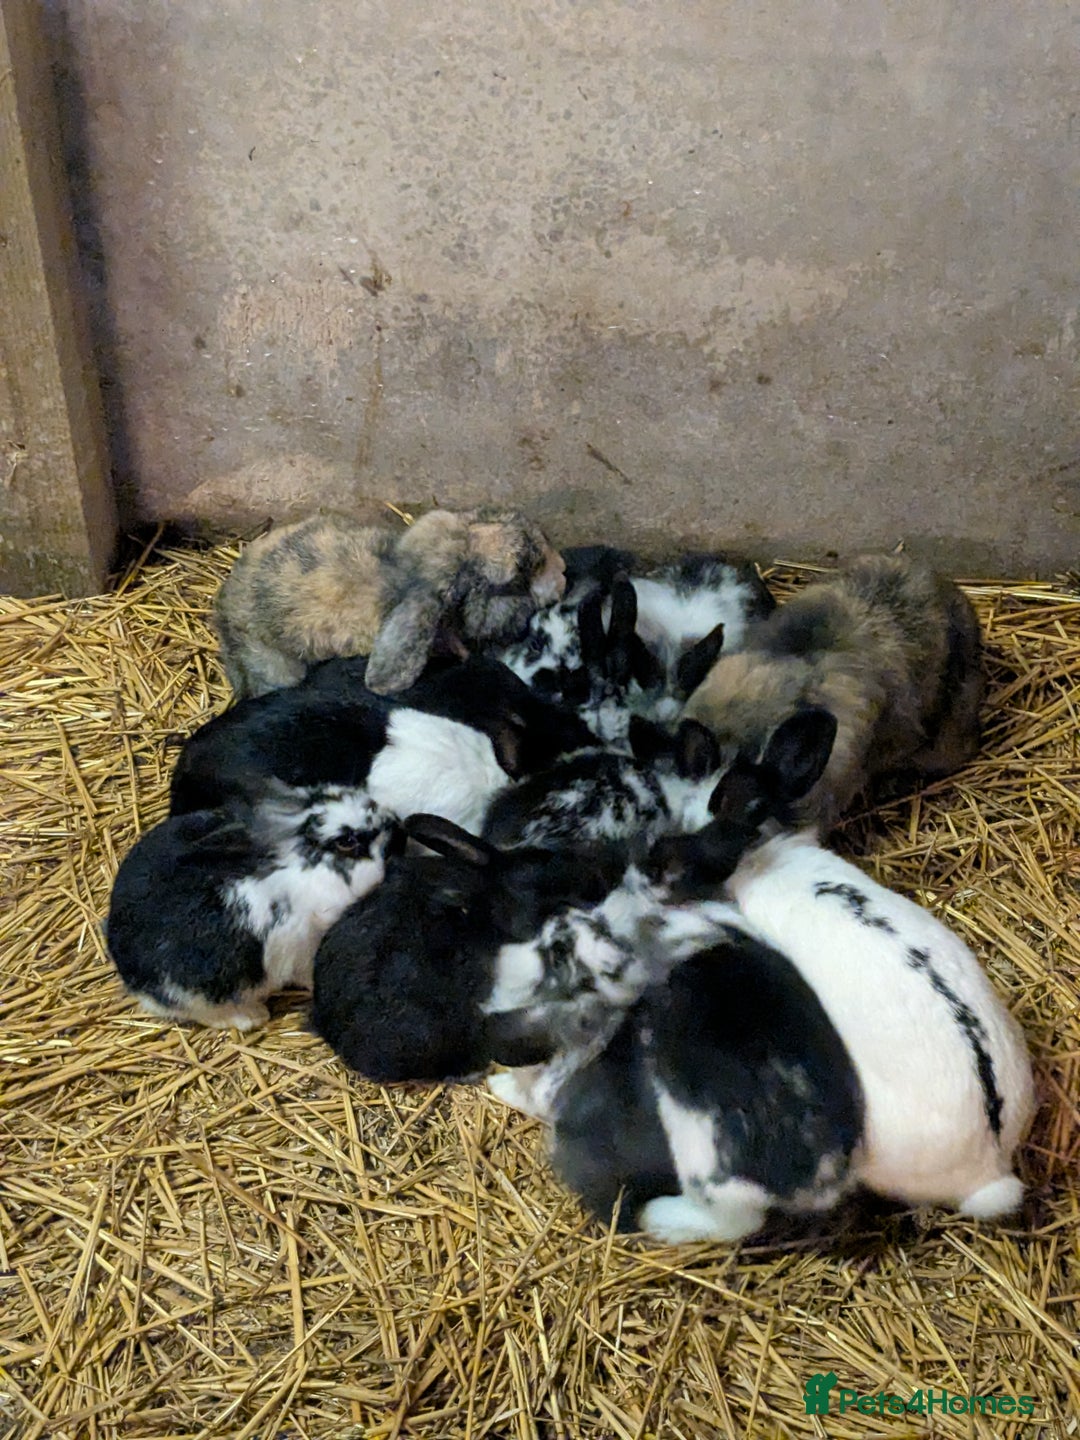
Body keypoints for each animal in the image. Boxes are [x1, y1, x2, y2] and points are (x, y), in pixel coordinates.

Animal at [107, 784, 401, 1030]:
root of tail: (130, 974)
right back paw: (252, 1017)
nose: (396, 826)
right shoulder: (303, 948)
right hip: (197, 992)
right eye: (347, 841)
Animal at [487, 920, 864, 1244]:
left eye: (557, 955)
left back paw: (656, 1217)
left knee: (736, 1223)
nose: (560, 926)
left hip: (700, 1162)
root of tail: (824, 1176)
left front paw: (498, 1086)